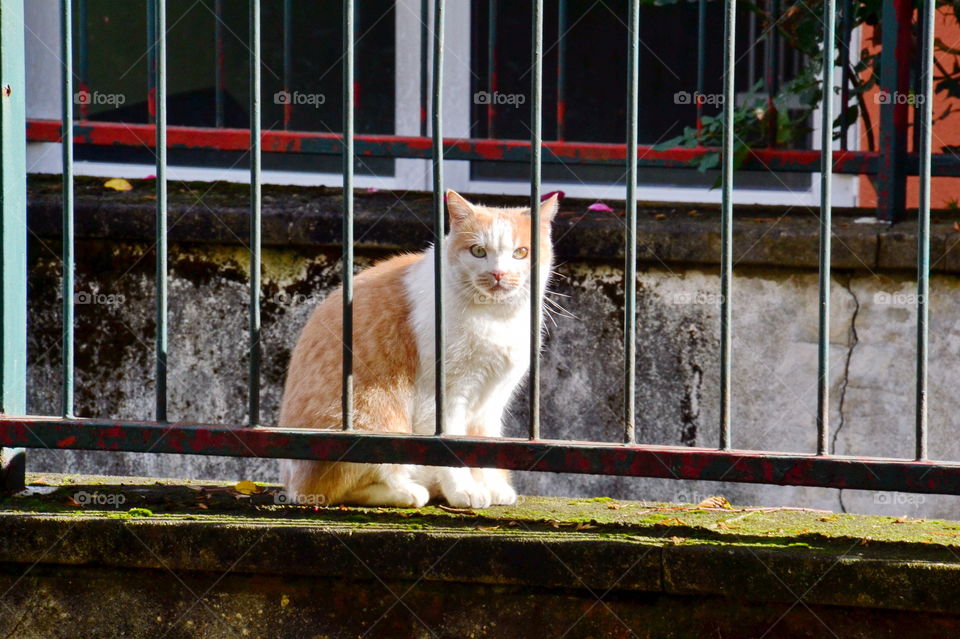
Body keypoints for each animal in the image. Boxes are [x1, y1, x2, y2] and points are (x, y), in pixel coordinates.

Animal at [276, 190, 556, 510]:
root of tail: (292, 483)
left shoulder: (491, 400)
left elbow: (484, 446)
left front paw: (491, 486)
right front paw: (464, 490)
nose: (498, 274)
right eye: (478, 252)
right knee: (337, 489)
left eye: (520, 253)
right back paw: (409, 492)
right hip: (376, 421)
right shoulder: (443, 398)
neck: (494, 318)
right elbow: (451, 449)